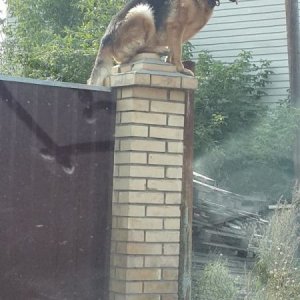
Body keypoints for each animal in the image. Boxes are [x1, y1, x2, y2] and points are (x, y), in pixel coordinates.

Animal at [86, 0, 237, 85]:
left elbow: (175, 51)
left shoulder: (176, 34)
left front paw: (171, 63)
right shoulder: (176, 25)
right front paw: (180, 69)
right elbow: (178, 51)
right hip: (142, 12)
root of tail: (105, 39)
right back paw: (159, 49)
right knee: (139, 49)